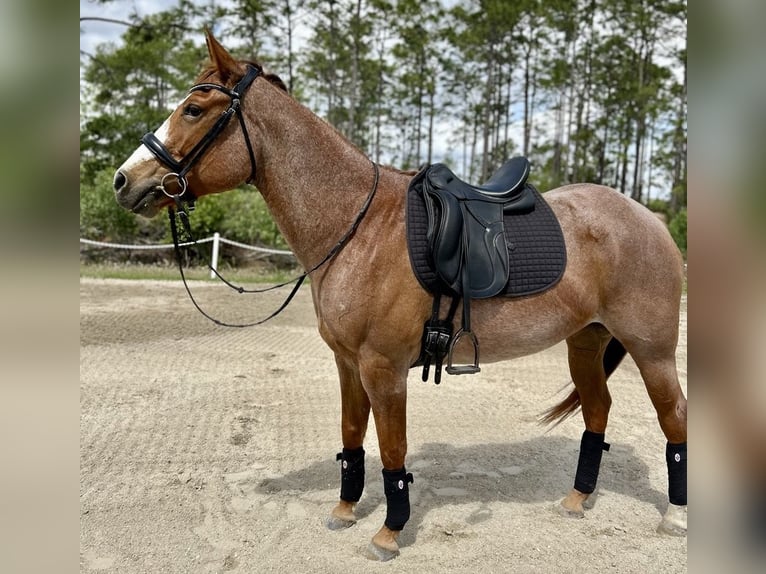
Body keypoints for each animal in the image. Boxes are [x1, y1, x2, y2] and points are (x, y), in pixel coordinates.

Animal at [113, 30, 687, 561]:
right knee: (598, 409)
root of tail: (650, 218)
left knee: (673, 414)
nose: (123, 180)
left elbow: (392, 450)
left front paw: (389, 533)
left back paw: (675, 518)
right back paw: (577, 500)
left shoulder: (383, 367)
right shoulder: (348, 363)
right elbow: (351, 435)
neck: (358, 227)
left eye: (193, 109)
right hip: (586, 341)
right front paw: (344, 509)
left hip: (652, 348)